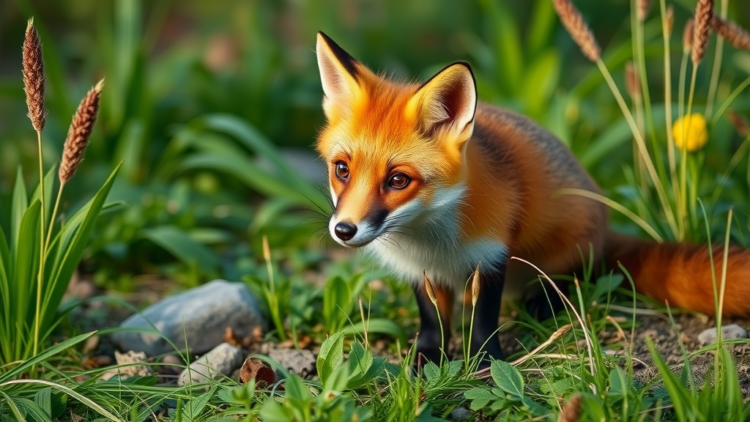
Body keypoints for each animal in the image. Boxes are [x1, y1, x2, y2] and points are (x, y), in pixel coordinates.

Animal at [313, 31, 750, 363]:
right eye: (342, 169)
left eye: (398, 180)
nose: (344, 230)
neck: (432, 241)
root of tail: (603, 221)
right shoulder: (420, 273)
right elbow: (433, 324)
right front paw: (426, 359)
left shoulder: (491, 257)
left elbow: (483, 323)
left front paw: (486, 362)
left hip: (563, 253)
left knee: (581, 276)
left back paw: (544, 301)